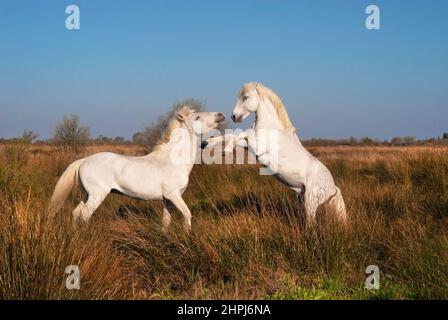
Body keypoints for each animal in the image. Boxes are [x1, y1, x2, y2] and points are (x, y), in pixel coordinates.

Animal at [48, 106, 228, 231]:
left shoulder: (168, 200)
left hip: (86, 195)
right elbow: (187, 214)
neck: (172, 161)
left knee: (76, 213)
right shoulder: (174, 195)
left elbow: (166, 221)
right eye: (197, 117)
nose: (221, 115)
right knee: (85, 216)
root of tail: (84, 160)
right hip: (97, 195)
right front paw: (187, 236)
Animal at [229, 83, 348, 225]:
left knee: (311, 223)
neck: (272, 128)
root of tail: (333, 188)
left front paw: (226, 148)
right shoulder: (248, 145)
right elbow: (234, 136)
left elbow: (242, 133)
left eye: (245, 97)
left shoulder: (256, 146)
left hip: (311, 203)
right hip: (302, 199)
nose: (234, 116)